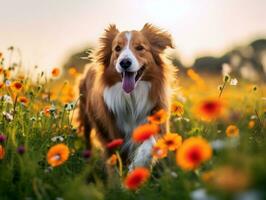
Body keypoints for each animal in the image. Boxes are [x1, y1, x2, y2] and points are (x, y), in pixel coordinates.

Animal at [78, 23, 176, 170]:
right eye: (117, 48)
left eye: (140, 47)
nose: (124, 62)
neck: (132, 97)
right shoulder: (112, 135)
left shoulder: (156, 118)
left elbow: (150, 142)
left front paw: (137, 166)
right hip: (87, 119)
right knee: (87, 140)